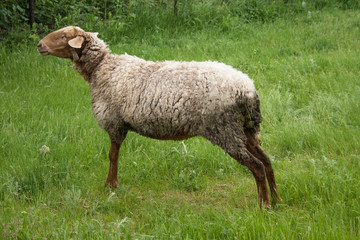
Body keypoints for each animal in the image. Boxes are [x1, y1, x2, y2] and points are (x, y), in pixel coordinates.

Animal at [37, 24, 282, 208]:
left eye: (63, 36)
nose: (39, 45)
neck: (101, 67)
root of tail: (247, 89)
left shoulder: (115, 123)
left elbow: (112, 156)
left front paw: (110, 185)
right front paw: (112, 184)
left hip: (224, 129)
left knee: (257, 166)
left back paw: (265, 206)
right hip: (244, 128)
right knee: (267, 161)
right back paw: (277, 199)